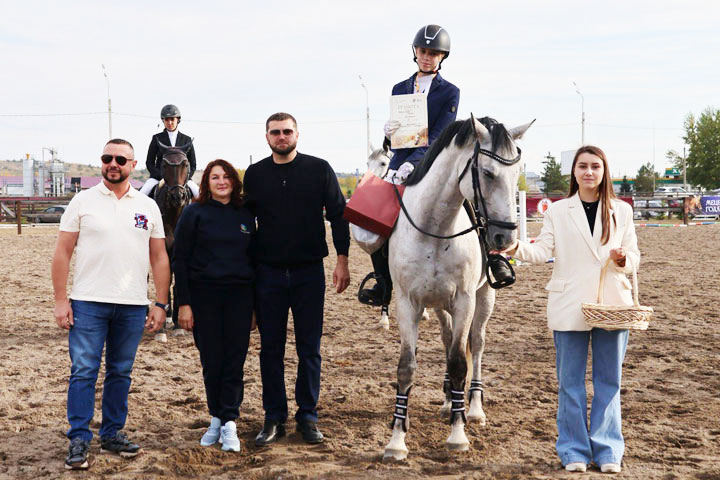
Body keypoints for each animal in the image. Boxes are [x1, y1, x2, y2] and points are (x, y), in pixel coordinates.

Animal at [382, 114, 536, 460]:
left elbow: (458, 364)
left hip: (483, 298)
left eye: (517, 175)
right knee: (448, 339)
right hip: (440, 306)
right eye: (488, 173)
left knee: (475, 346)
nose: (505, 238)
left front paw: (457, 434)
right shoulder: (407, 304)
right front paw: (397, 440)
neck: (434, 230)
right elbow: (406, 367)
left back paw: (473, 408)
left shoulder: (465, 301)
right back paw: (446, 402)